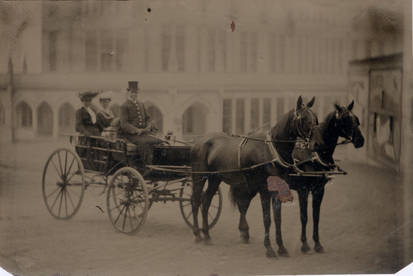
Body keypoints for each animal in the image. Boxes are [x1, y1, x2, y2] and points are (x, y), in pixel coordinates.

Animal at [189, 96, 318, 258]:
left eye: (314, 117)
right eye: (304, 118)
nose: (315, 143)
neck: (270, 150)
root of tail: (199, 141)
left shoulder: (278, 189)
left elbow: (278, 219)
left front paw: (281, 247)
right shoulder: (264, 188)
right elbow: (267, 218)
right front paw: (269, 248)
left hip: (215, 178)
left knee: (205, 201)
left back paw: (206, 235)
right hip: (199, 177)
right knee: (196, 201)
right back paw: (197, 234)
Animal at [276, 100, 364, 256]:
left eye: (357, 119)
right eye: (345, 119)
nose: (360, 140)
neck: (313, 155)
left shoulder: (319, 190)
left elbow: (316, 217)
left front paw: (317, 244)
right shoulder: (303, 190)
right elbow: (304, 217)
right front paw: (305, 245)